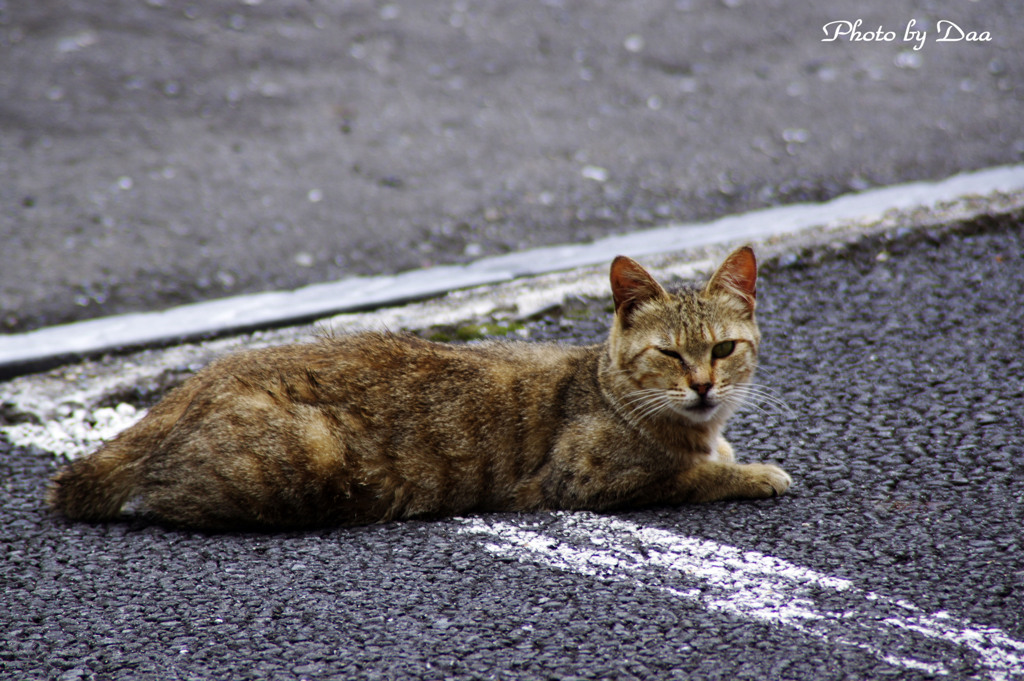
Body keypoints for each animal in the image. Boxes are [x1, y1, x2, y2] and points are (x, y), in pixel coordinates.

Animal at [48, 246, 790, 528]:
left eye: (723, 349)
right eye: (669, 354)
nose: (703, 385)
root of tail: (202, 375)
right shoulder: (586, 480)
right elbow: (692, 476)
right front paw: (755, 473)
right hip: (300, 458)